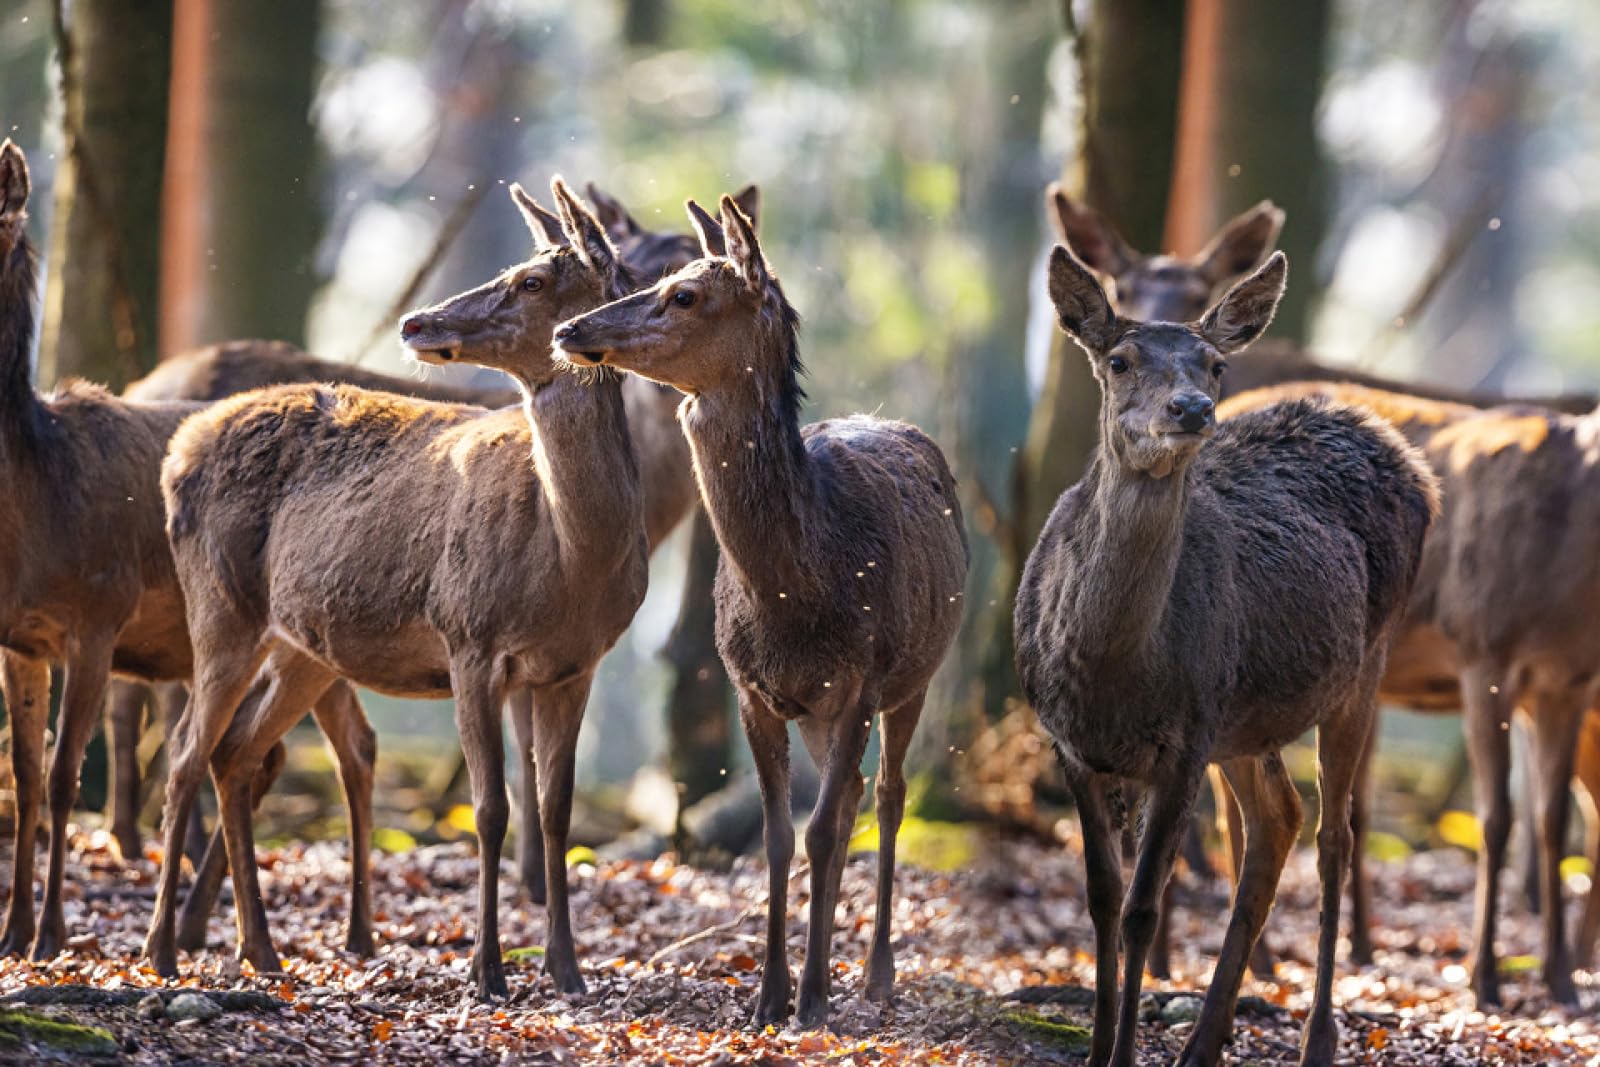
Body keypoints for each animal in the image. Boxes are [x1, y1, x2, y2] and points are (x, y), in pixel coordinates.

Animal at [0, 139, 379, 963]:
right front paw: (12, 931)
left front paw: (48, 935)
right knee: (309, 747)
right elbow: (23, 773)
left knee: (332, 750)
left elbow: (61, 774)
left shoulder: (98, 617)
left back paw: (335, 932)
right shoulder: (16, 636)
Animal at [105, 182, 747, 899]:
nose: (417, 323)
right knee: (175, 712)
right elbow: (515, 772)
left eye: (681, 277)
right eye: (642, 268)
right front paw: (531, 886)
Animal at [551, 195, 969, 1028]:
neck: (800, 597)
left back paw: (874, 973)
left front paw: (808, 998)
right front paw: (772, 993)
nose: (570, 330)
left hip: (916, 674)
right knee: (848, 805)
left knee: (887, 796)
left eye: (684, 293)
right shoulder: (753, 688)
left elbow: (825, 829)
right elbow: (780, 837)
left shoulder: (861, 681)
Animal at [1015, 245, 1436, 1067]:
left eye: (1213, 364)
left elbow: (1142, 907)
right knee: (1277, 819)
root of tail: (1409, 457)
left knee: (1333, 834)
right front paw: (1096, 1049)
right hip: (1243, 716)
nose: (1190, 408)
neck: (1111, 673)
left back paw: (1317, 1038)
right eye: (1119, 360)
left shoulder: (1184, 741)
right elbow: (1101, 899)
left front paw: (1121, 1052)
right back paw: (1206, 1041)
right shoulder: (1069, 742)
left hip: (1359, 666)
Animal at [1221, 379, 1600, 1008]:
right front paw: (1484, 978)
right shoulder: (1482, 650)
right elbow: (1496, 818)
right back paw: (1259, 961)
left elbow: (1550, 821)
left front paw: (1560, 981)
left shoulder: (1566, 684)